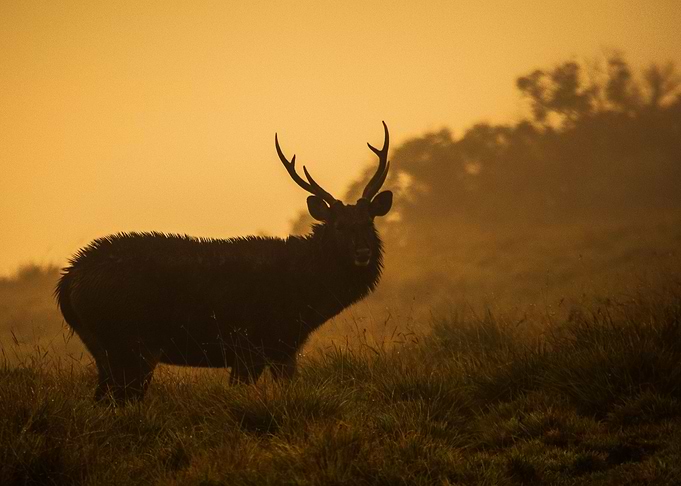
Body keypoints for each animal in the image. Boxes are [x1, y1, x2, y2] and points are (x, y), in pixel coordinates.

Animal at [55, 122, 393, 402]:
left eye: (368, 222)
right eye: (339, 226)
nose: (362, 251)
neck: (305, 300)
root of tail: (67, 282)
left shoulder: (281, 348)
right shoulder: (253, 344)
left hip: (104, 348)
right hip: (128, 344)